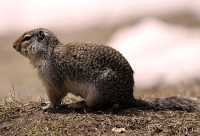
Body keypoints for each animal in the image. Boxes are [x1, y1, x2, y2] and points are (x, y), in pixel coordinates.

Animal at [12, 27, 200, 111]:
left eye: (27, 38)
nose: (13, 45)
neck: (48, 53)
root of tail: (129, 96)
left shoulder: (52, 79)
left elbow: (56, 97)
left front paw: (47, 107)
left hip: (99, 90)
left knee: (104, 105)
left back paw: (79, 105)